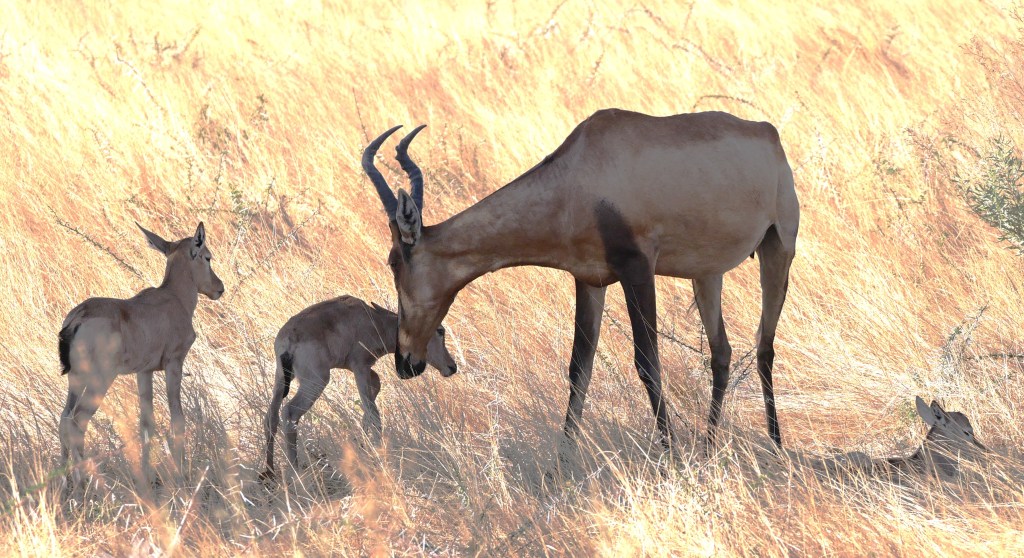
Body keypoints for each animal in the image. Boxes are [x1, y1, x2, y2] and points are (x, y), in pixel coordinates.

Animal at [58, 222, 223, 490]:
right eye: (207, 257)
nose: (219, 288)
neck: (172, 297)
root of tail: (77, 318)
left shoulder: (144, 371)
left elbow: (147, 424)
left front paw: (147, 478)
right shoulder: (174, 363)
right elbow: (177, 419)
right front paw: (180, 476)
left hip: (76, 379)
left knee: (63, 419)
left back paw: (64, 485)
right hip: (100, 380)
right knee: (77, 422)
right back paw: (85, 486)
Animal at [261, 295, 458, 479]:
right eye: (440, 330)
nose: (452, 367)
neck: (372, 318)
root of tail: (287, 340)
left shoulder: (361, 369)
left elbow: (375, 388)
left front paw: (362, 441)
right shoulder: (359, 366)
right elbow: (373, 412)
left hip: (281, 379)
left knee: (271, 416)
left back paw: (269, 472)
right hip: (316, 382)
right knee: (290, 412)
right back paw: (295, 470)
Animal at [360, 109, 800, 458]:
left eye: (393, 261)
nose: (406, 362)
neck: (581, 170)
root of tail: (769, 134)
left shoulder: (638, 269)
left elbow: (647, 362)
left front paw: (673, 457)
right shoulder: (590, 281)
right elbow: (578, 369)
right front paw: (560, 466)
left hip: (779, 248)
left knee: (765, 346)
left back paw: (777, 447)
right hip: (706, 274)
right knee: (721, 351)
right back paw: (709, 448)